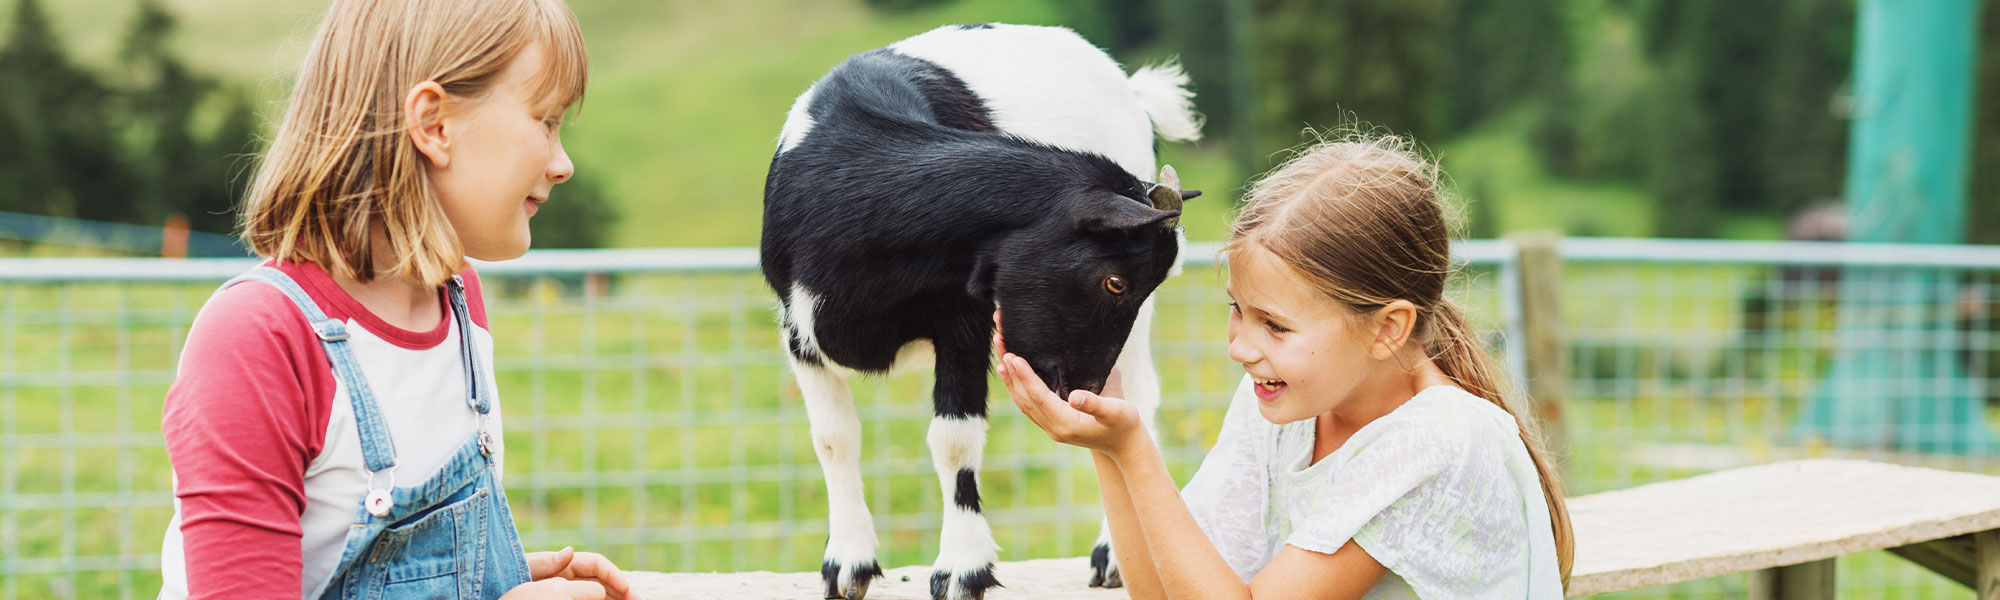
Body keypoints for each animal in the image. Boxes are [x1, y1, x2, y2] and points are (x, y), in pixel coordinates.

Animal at [764, 22, 1200, 600]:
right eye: (1116, 282)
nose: (1078, 390)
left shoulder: (964, 322)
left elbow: (954, 440)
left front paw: (962, 568)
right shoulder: (799, 330)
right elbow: (835, 439)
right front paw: (848, 563)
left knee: (1142, 400)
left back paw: (1112, 556)